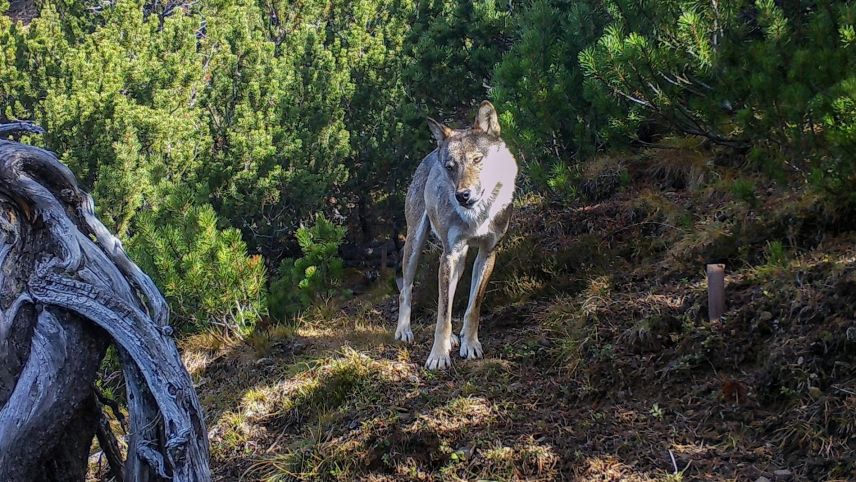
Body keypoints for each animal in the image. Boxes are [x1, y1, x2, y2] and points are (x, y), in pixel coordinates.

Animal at [395, 101, 518, 370]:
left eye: (477, 159)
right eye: (450, 167)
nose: (463, 195)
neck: (477, 217)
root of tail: (430, 155)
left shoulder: (487, 253)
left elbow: (473, 307)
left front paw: (470, 344)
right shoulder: (449, 255)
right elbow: (443, 314)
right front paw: (438, 355)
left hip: (460, 262)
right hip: (416, 246)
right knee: (406, 289)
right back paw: (404, 331)